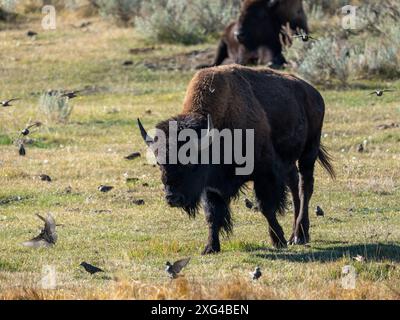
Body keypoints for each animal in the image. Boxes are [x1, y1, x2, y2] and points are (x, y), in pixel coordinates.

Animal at [138, 64, 334, 255]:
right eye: (159, 163)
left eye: (191, 162)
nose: (172, 198)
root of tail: (314, 93)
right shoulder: (211, 186)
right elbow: (212, 214)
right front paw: (210, 247)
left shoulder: (264, 174)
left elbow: (266, 208)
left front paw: (278, 240)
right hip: (290, 161)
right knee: (294, 186)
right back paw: (296, 235)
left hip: (309, 151)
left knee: (305, 187)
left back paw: (300, 235)